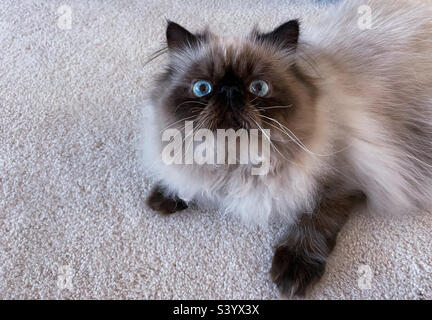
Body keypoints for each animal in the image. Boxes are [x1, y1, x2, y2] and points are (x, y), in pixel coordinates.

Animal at [143, 0, 432, 298]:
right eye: (203, 88)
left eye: (258, 87)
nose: (230, 91)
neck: (235, 159)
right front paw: (164, 197)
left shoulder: (341, 184)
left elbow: (312, 222)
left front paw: (293, 271)